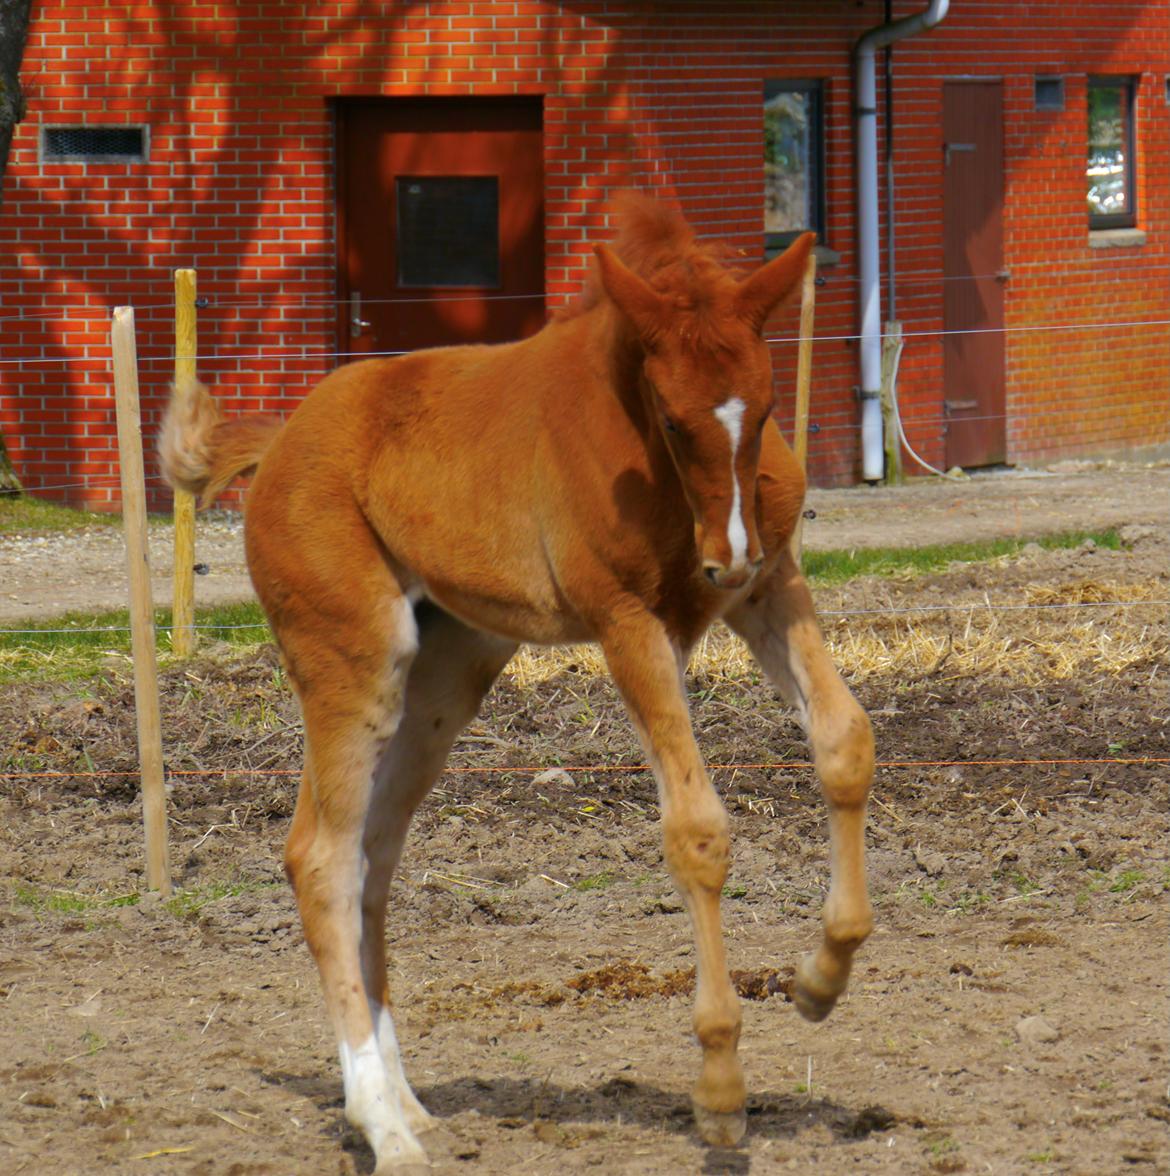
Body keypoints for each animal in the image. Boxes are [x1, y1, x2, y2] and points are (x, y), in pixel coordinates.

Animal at [162, 197, 870, 1171]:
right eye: (673, 419)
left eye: (765, 409)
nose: (723, 557)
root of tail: (281, 440)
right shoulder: (627, 623)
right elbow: (696, 830)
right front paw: (722, 1090)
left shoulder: (769, 585)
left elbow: (845, 742)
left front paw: (819, 980)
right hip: (353, 659)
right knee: (320, 857)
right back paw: (383, 1127)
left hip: (443, 681)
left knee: (373, 856)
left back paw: (404, 1103)